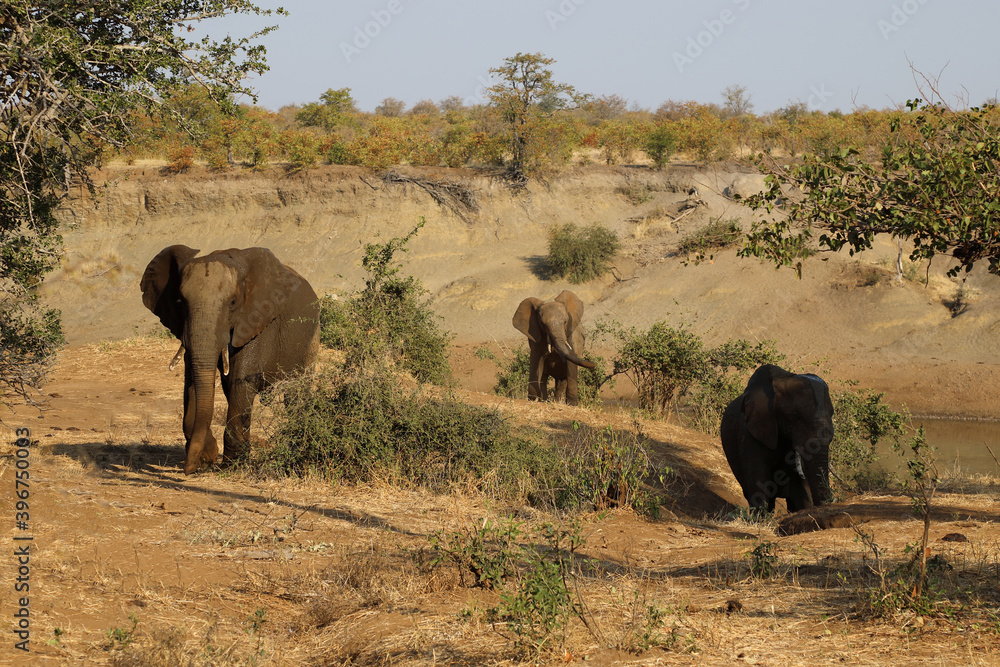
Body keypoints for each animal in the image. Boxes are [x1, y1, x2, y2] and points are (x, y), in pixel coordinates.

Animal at [140, 245, 320, 474]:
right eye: (180, 303)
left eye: (233, 303)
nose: (189, 469)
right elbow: (192, 383)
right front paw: (207, 457)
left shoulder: (258, 319)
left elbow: (239, 382)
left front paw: (232, 467)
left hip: (311, 340)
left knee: (296, 394)